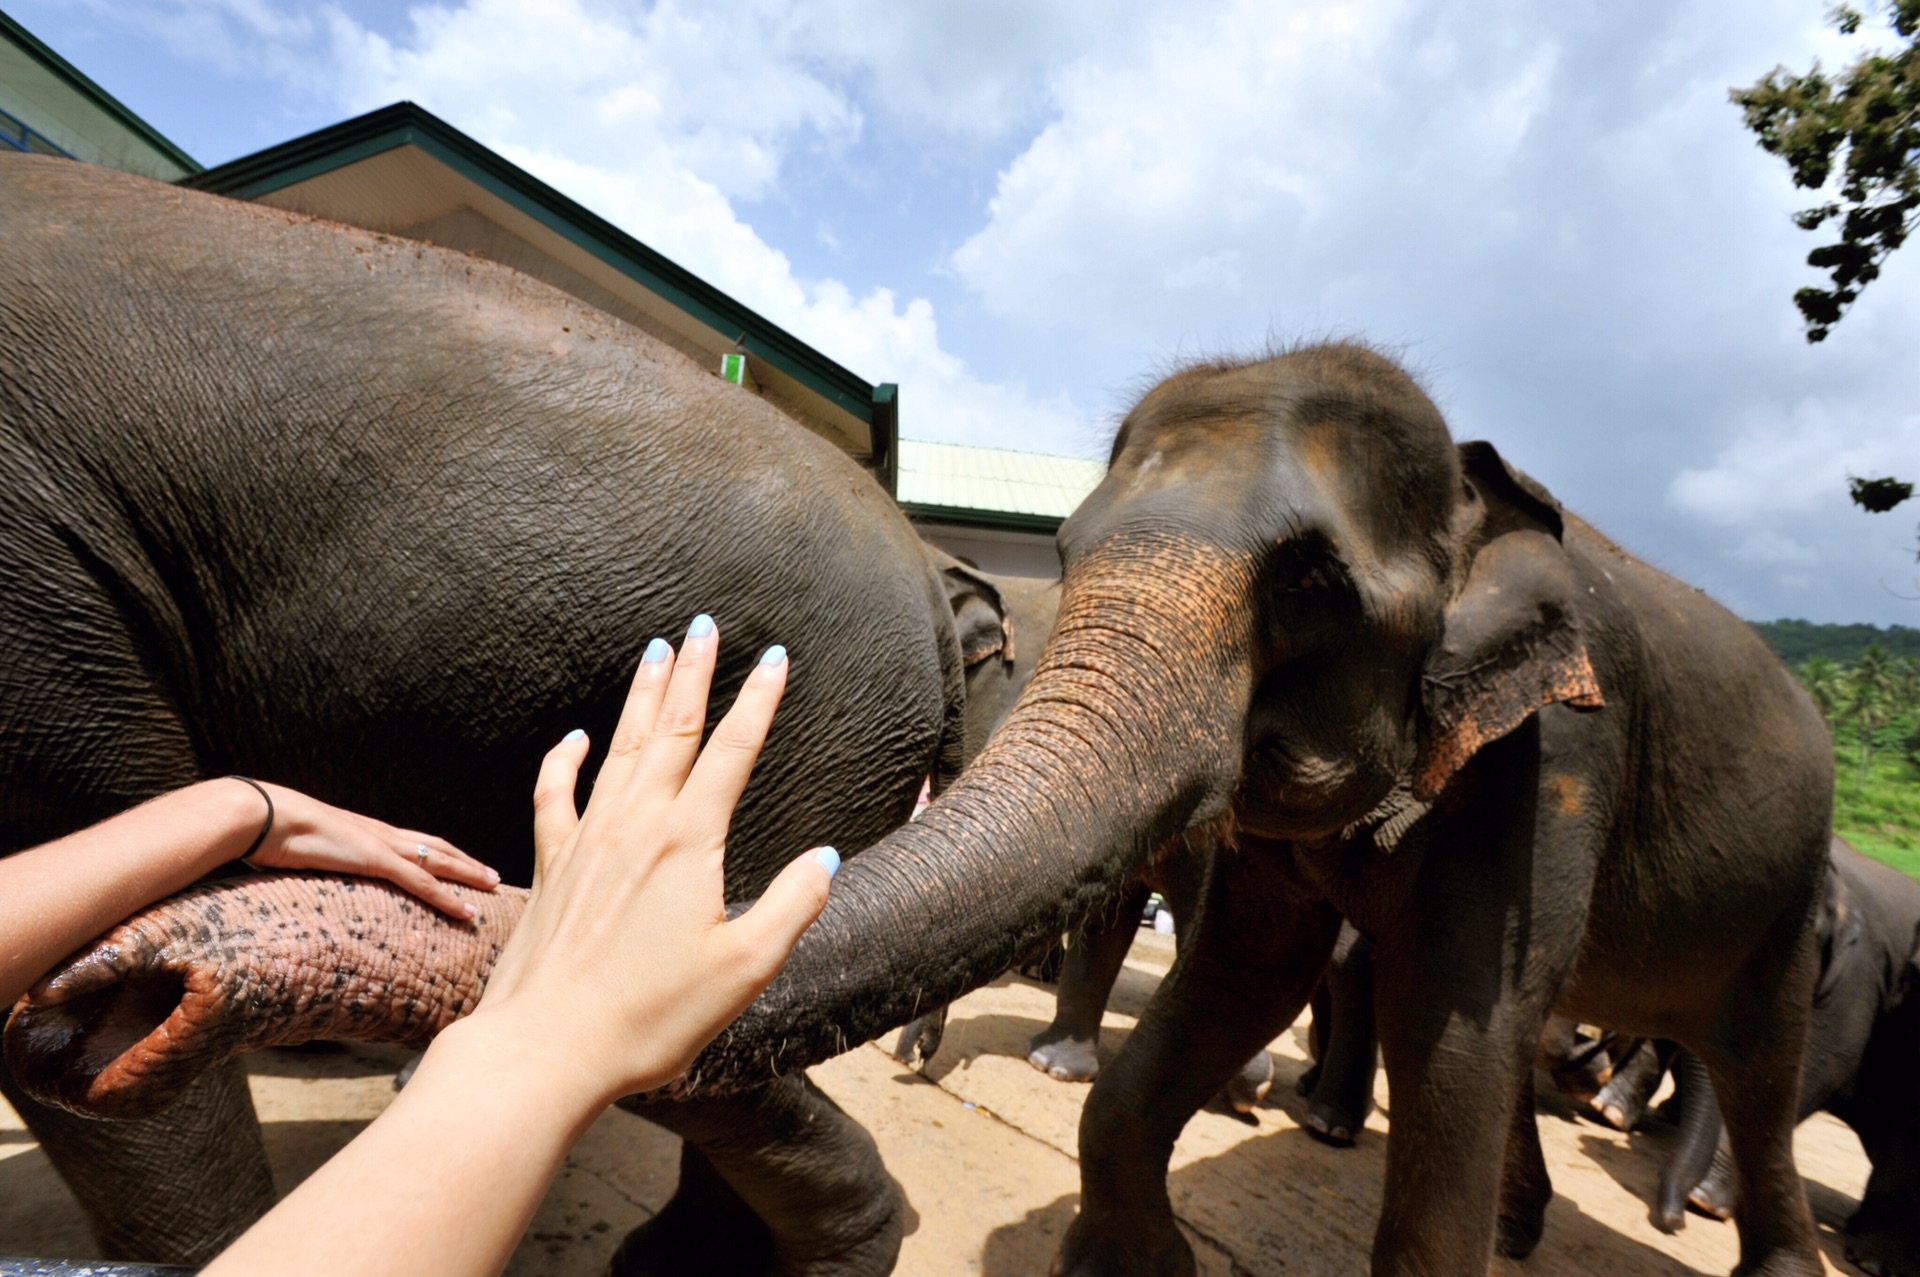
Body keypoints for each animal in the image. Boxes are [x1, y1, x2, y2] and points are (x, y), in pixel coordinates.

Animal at [18, 341, 1843, 1275]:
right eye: (1078, 539)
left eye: (1315, 590)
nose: (96, 1000)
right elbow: (1238, 971)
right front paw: (1130, 1269)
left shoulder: (1561, 752)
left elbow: (1468, 1024)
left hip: (1794, 900)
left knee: (1750, 1065)